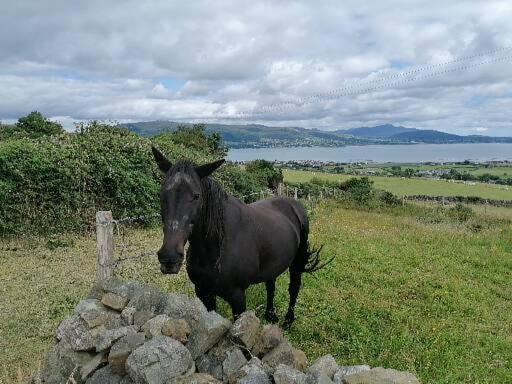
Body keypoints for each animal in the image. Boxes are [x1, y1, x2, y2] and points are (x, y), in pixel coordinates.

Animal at [151, 147, 324, 328]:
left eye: (196, 196)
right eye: (162, 193)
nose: (169, 258)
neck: (217, 248)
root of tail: (294, 205)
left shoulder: (238, 298)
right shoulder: (203, 292)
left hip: (296, 263)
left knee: (294, 288)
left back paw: (288, 322)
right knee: (271, 285)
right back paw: (270, 315)